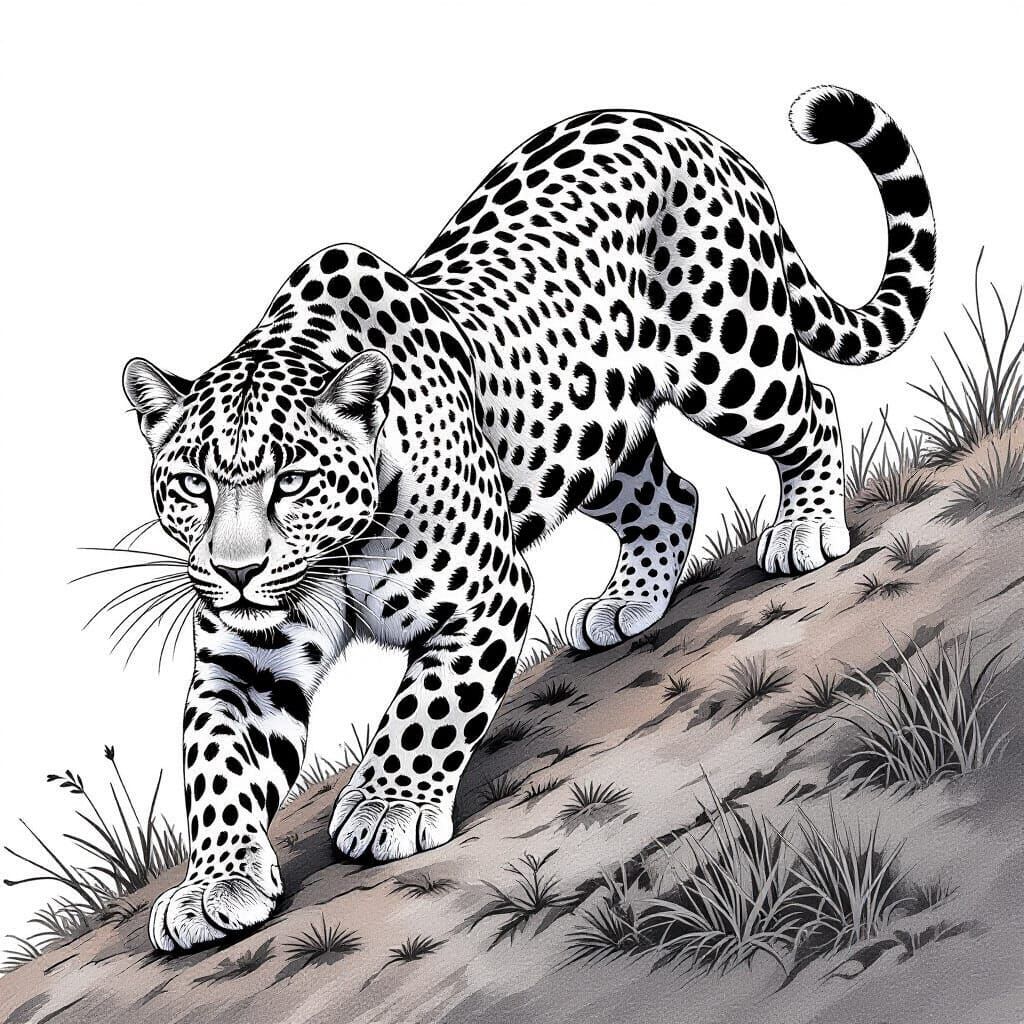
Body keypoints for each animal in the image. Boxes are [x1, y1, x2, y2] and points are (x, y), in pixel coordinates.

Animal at [121, 85, 934, 950]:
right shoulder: (245, 658)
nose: (236, 571)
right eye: (192, 483)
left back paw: (805, 530)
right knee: (674, 493)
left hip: (733, 359)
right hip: (586, 437)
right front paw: (215, 885)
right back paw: (625, 604)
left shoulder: (486, 597)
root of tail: (695, 133)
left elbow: (428, 708)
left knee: (815, 409)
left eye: (294, 479)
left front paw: (387, 807)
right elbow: (216, 765)